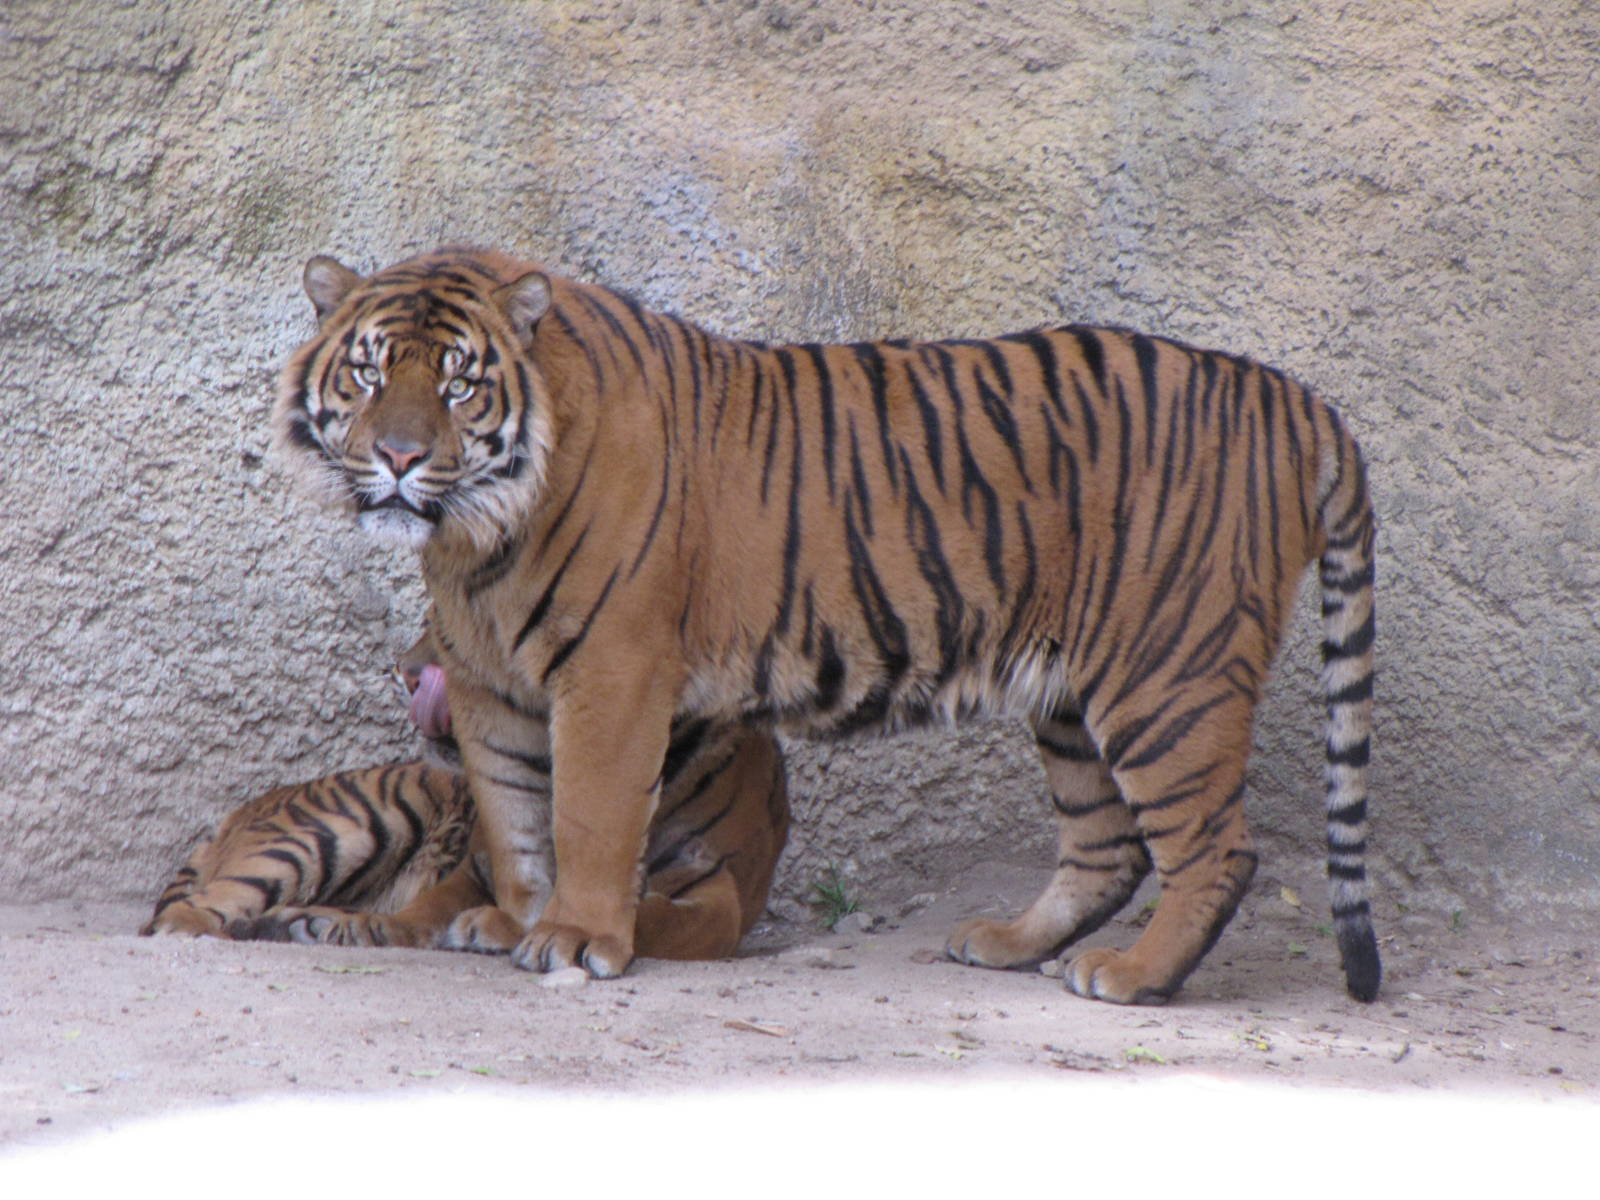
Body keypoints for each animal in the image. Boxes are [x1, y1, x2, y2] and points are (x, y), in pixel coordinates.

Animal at [142, 626, 789, 961]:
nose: (402, 672)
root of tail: (234, 817)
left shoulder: (715, 890)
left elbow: (654, 918)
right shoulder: (479, 859)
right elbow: (429, 908)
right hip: (356, 822)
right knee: (185, 911)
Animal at [273, 245, 1380, 1005]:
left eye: (458, 382)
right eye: (368, 373)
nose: (400, 458)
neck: (477, 536)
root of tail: (1294, 397)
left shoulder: (612, 673)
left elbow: (587, 814)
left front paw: (577, 938)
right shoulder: (491, 687)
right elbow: (514, 822)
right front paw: (513, 920)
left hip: (1165, 674)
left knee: (1212, 847)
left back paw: (1134, 976)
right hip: (1071, 695)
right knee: (1106, 844)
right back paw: (1010, 944)